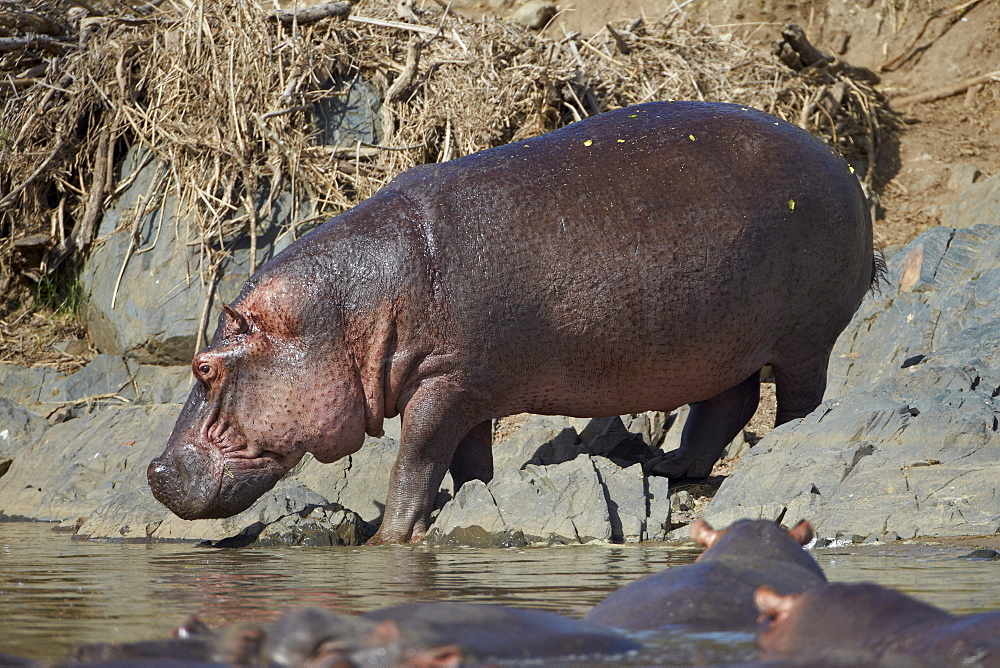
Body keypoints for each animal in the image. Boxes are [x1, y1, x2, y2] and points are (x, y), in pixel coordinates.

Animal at [146, 99, 876, 544]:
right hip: (726, 342)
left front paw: (388, 538)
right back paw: (669, 467)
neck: (348, 309)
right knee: (727, 404)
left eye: (204, 367)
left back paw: (780, 445)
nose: (154, 471)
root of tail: (839, 161)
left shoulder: (445, 383)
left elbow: (416, 458)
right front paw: (475, 503)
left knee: (797, 399)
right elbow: (469, 460)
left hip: (803, 337)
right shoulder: (468, 388)